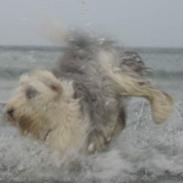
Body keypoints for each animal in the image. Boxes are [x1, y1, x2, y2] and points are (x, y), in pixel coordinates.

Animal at [4, 31, 173, 154]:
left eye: (30, 93)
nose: (9, 110)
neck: (57, 113)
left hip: (115, 74)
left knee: (149, 89)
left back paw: (161, 111)